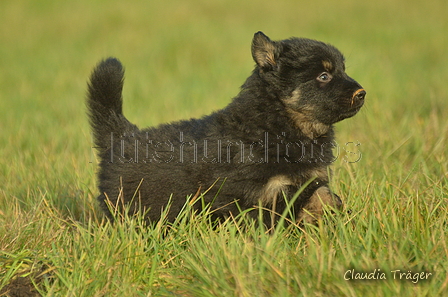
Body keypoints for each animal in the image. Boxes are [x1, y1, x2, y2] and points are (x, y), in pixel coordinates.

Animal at [86, 32, 364, 225]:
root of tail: (122, 135)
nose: (362, 93)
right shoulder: (245, 195)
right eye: (324, 76)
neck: (280, 122)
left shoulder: (309, 183)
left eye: (343, 70)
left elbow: (327, 198)